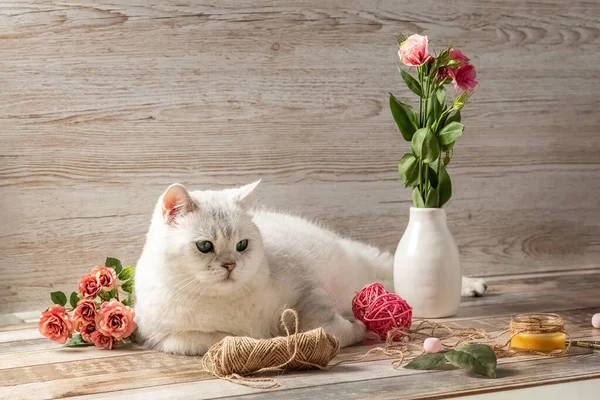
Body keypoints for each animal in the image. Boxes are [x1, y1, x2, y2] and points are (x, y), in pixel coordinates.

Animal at [134, 180, 486, 354]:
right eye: (205, 246)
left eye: (242, 245)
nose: (231, 265)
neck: (227, 302)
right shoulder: (173, 338)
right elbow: (217, 340)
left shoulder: (306, 288)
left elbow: (321, 324)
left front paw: (354, 329)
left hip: (370, 261)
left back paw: (474, 286)